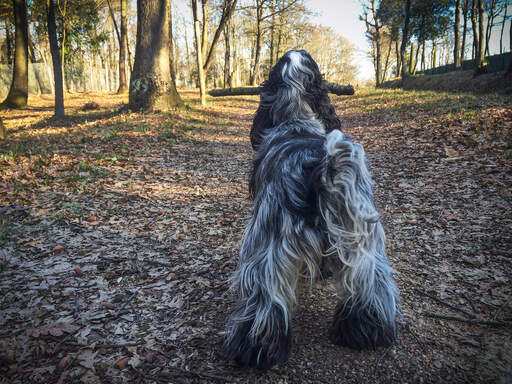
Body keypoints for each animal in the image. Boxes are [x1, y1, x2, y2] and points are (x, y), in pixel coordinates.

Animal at [224, 50, 400, 368]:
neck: (296, 117)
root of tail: (320, 167)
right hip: (364, 240)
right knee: (370, 286)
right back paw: (365, 332)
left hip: (266, 244)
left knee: (265, 300)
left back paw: (254, 350)